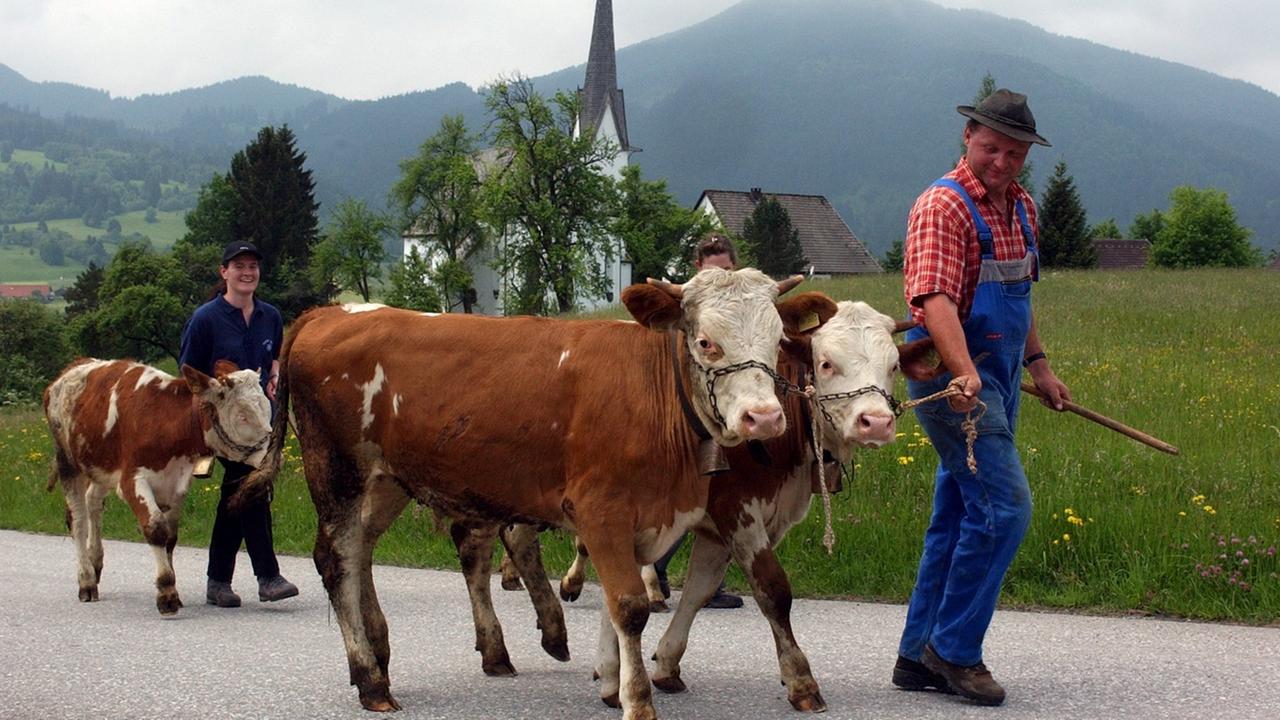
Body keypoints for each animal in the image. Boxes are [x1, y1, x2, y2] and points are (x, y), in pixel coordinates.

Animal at [42, 358, 272, 615]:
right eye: (243, 416)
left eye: (266, 408)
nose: (272, 454)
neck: (165, 421)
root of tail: (74, 366)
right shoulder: (132, 480)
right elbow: (156, 528)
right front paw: (166, 592)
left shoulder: (177, 485)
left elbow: (170, 537)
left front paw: (173, 588)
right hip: (68, 462)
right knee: (78, 520)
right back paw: (86, 580)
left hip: (100, 467)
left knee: (93, 502)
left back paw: (95, 562)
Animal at [233, 268, 802, 719]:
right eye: (706, 341)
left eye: (777, 341)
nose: (765, 417)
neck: (650, 390)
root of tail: (329, 313)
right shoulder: (602, 508)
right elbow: (629, 606)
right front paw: (637, 701)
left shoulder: (646, 518)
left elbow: (619, 602)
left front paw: (611, 683)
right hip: (336, 470)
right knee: (337, 558)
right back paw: (371, 680)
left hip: (387, 479)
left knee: (360, 551)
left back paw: (380, 659)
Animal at [470, 298, 937, 712]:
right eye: (826, 364)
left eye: (893, 366)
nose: (876, 422)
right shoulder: (735, 508)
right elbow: (773, 590)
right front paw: (801, 680)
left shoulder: (716, 523)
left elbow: (698, 589)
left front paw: (649, 666)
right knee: (488, 551)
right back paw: (517, 640)